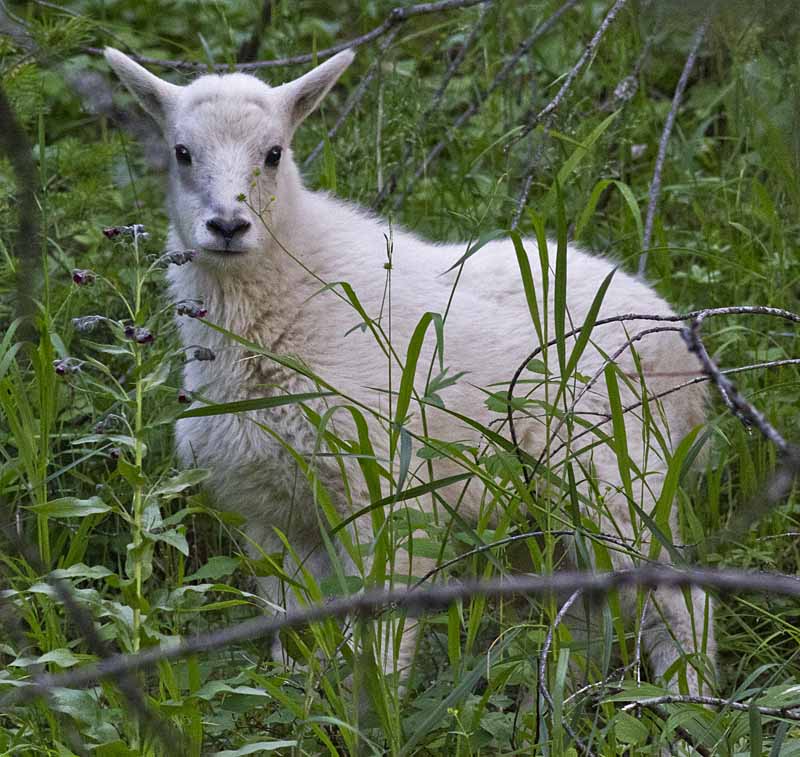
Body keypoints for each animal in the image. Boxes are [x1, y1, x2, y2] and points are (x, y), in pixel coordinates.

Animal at [104, 48, 712, 692]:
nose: (226, 227)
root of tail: (682, 346)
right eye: (181, 152)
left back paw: (686, 701)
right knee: (587, 609)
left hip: (614, 469)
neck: (286, 297)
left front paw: (374, 704)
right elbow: (296, 629)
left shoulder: (381, 485)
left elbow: (380, 634)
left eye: (274, 153)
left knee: (679, 600)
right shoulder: (272, 511)